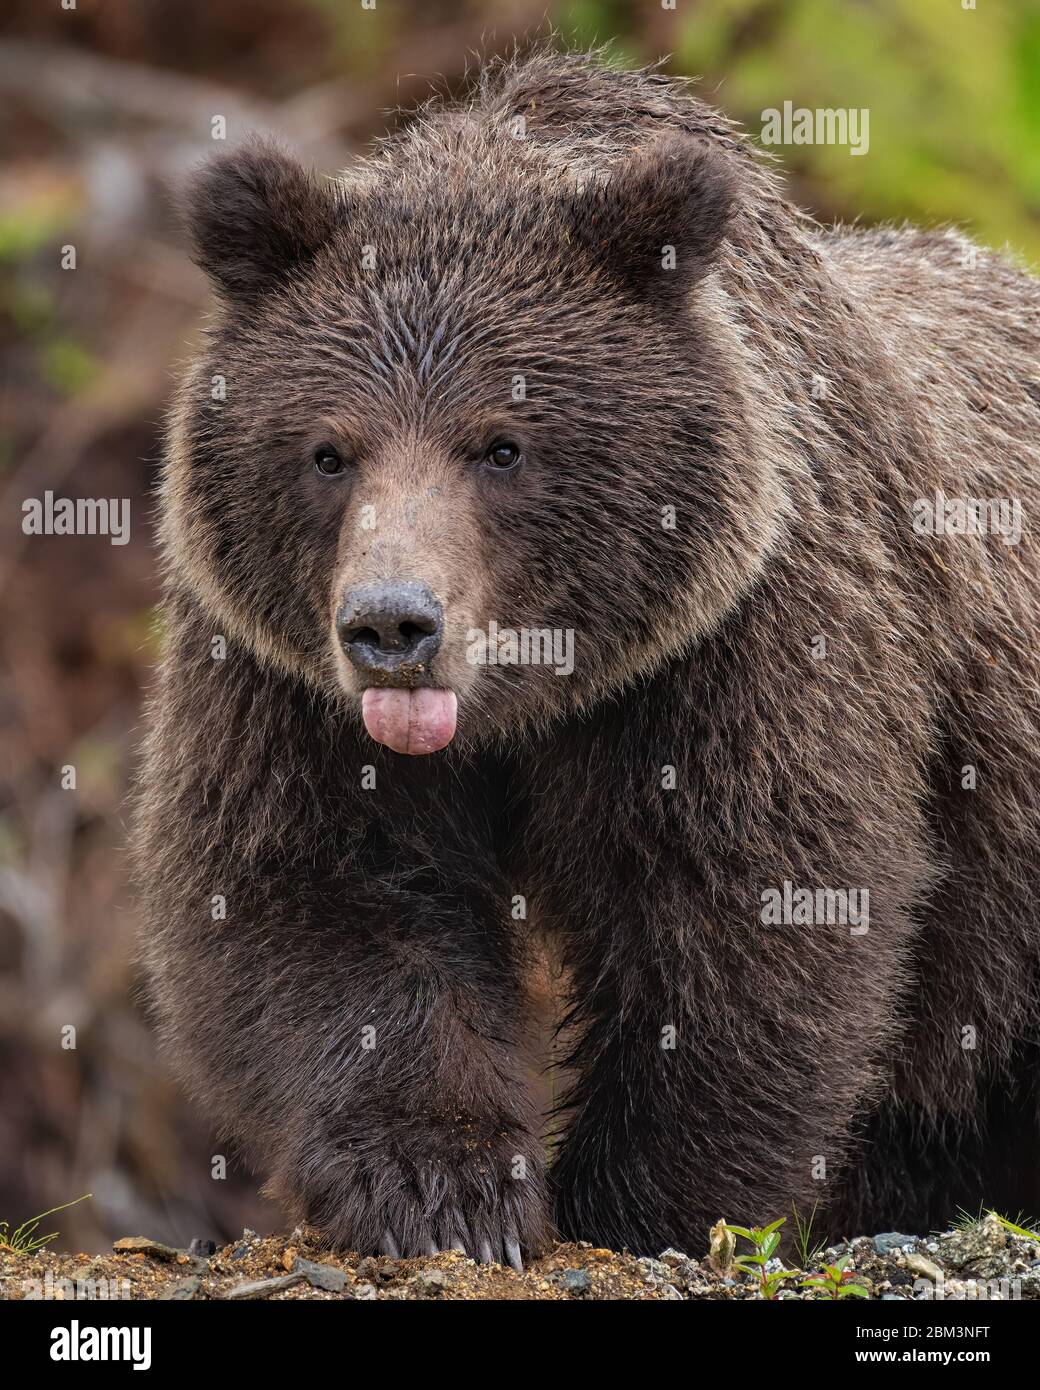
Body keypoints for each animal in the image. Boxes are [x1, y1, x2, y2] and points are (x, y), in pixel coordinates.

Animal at [134, 46, 1040, 1263]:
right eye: (327, 451)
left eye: (502, 445)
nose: (391, 624)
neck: (533, 701)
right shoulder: (277, 671)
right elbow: (316, 889)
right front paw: (444, 1188)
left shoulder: (740, 643)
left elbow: (745, 914)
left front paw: (623, 1201)